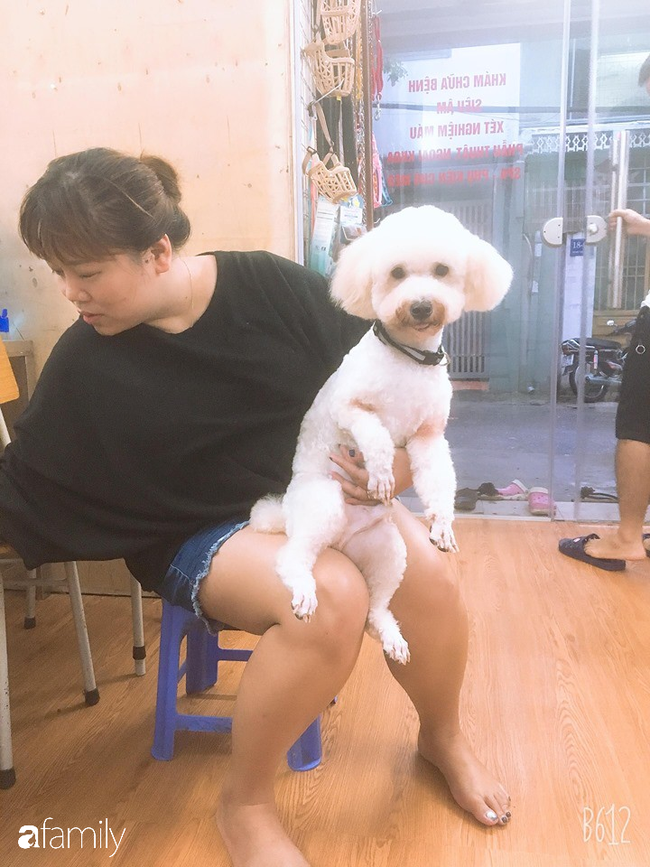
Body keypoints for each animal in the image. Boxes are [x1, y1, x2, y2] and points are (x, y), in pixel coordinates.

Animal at [250, 206, 512, 663]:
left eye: (442, 270)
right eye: (397, 273)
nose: (421, 306)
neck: (410, 360)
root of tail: (338, 544)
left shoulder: (429, 437)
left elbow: (439, 480)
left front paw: (442, 523)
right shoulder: (351, 408)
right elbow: (376, 436)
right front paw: (383, 475)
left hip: (389, 551)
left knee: (376, 606)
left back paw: (388, 634)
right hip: (323, 505)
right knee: (291, 557)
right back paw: (304, 590)